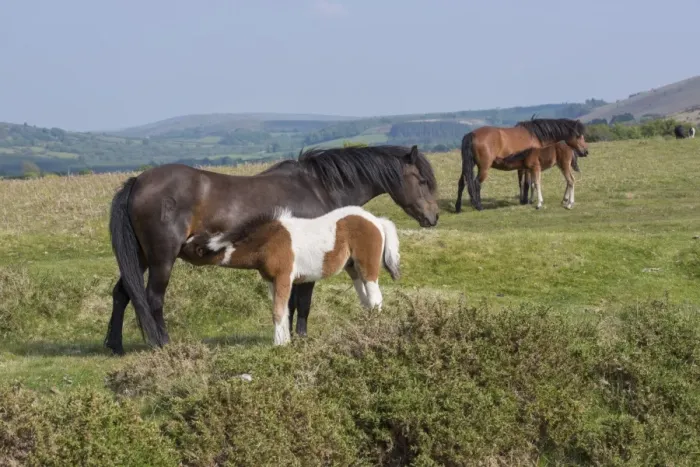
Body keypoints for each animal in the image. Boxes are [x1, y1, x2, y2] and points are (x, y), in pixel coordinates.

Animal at [180, 205, 401, 346]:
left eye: (191, 247)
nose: (178, 245)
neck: (267, 242)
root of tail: (376, 221)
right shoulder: (271, 280)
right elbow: (284, 310)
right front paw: (285, 340)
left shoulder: (284, 277)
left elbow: (278, 311)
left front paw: (279, 344)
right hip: (353, 268)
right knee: (366, 301)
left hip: (367, 266)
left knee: (375, 299)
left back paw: (374, 331)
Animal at [454, 118, 589, 212]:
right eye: (578, 136)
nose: (586, 152)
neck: (536, 135)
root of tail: (472, 134)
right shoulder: (530, 168)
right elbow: (529, 183)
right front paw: (527, 200)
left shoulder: (523, 168)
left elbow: (523, 183)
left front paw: (525, 200)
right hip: (483, 168)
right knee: (476, 183)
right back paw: (479, 206)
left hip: (467, 165)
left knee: (462, 183)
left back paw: (458, 207)